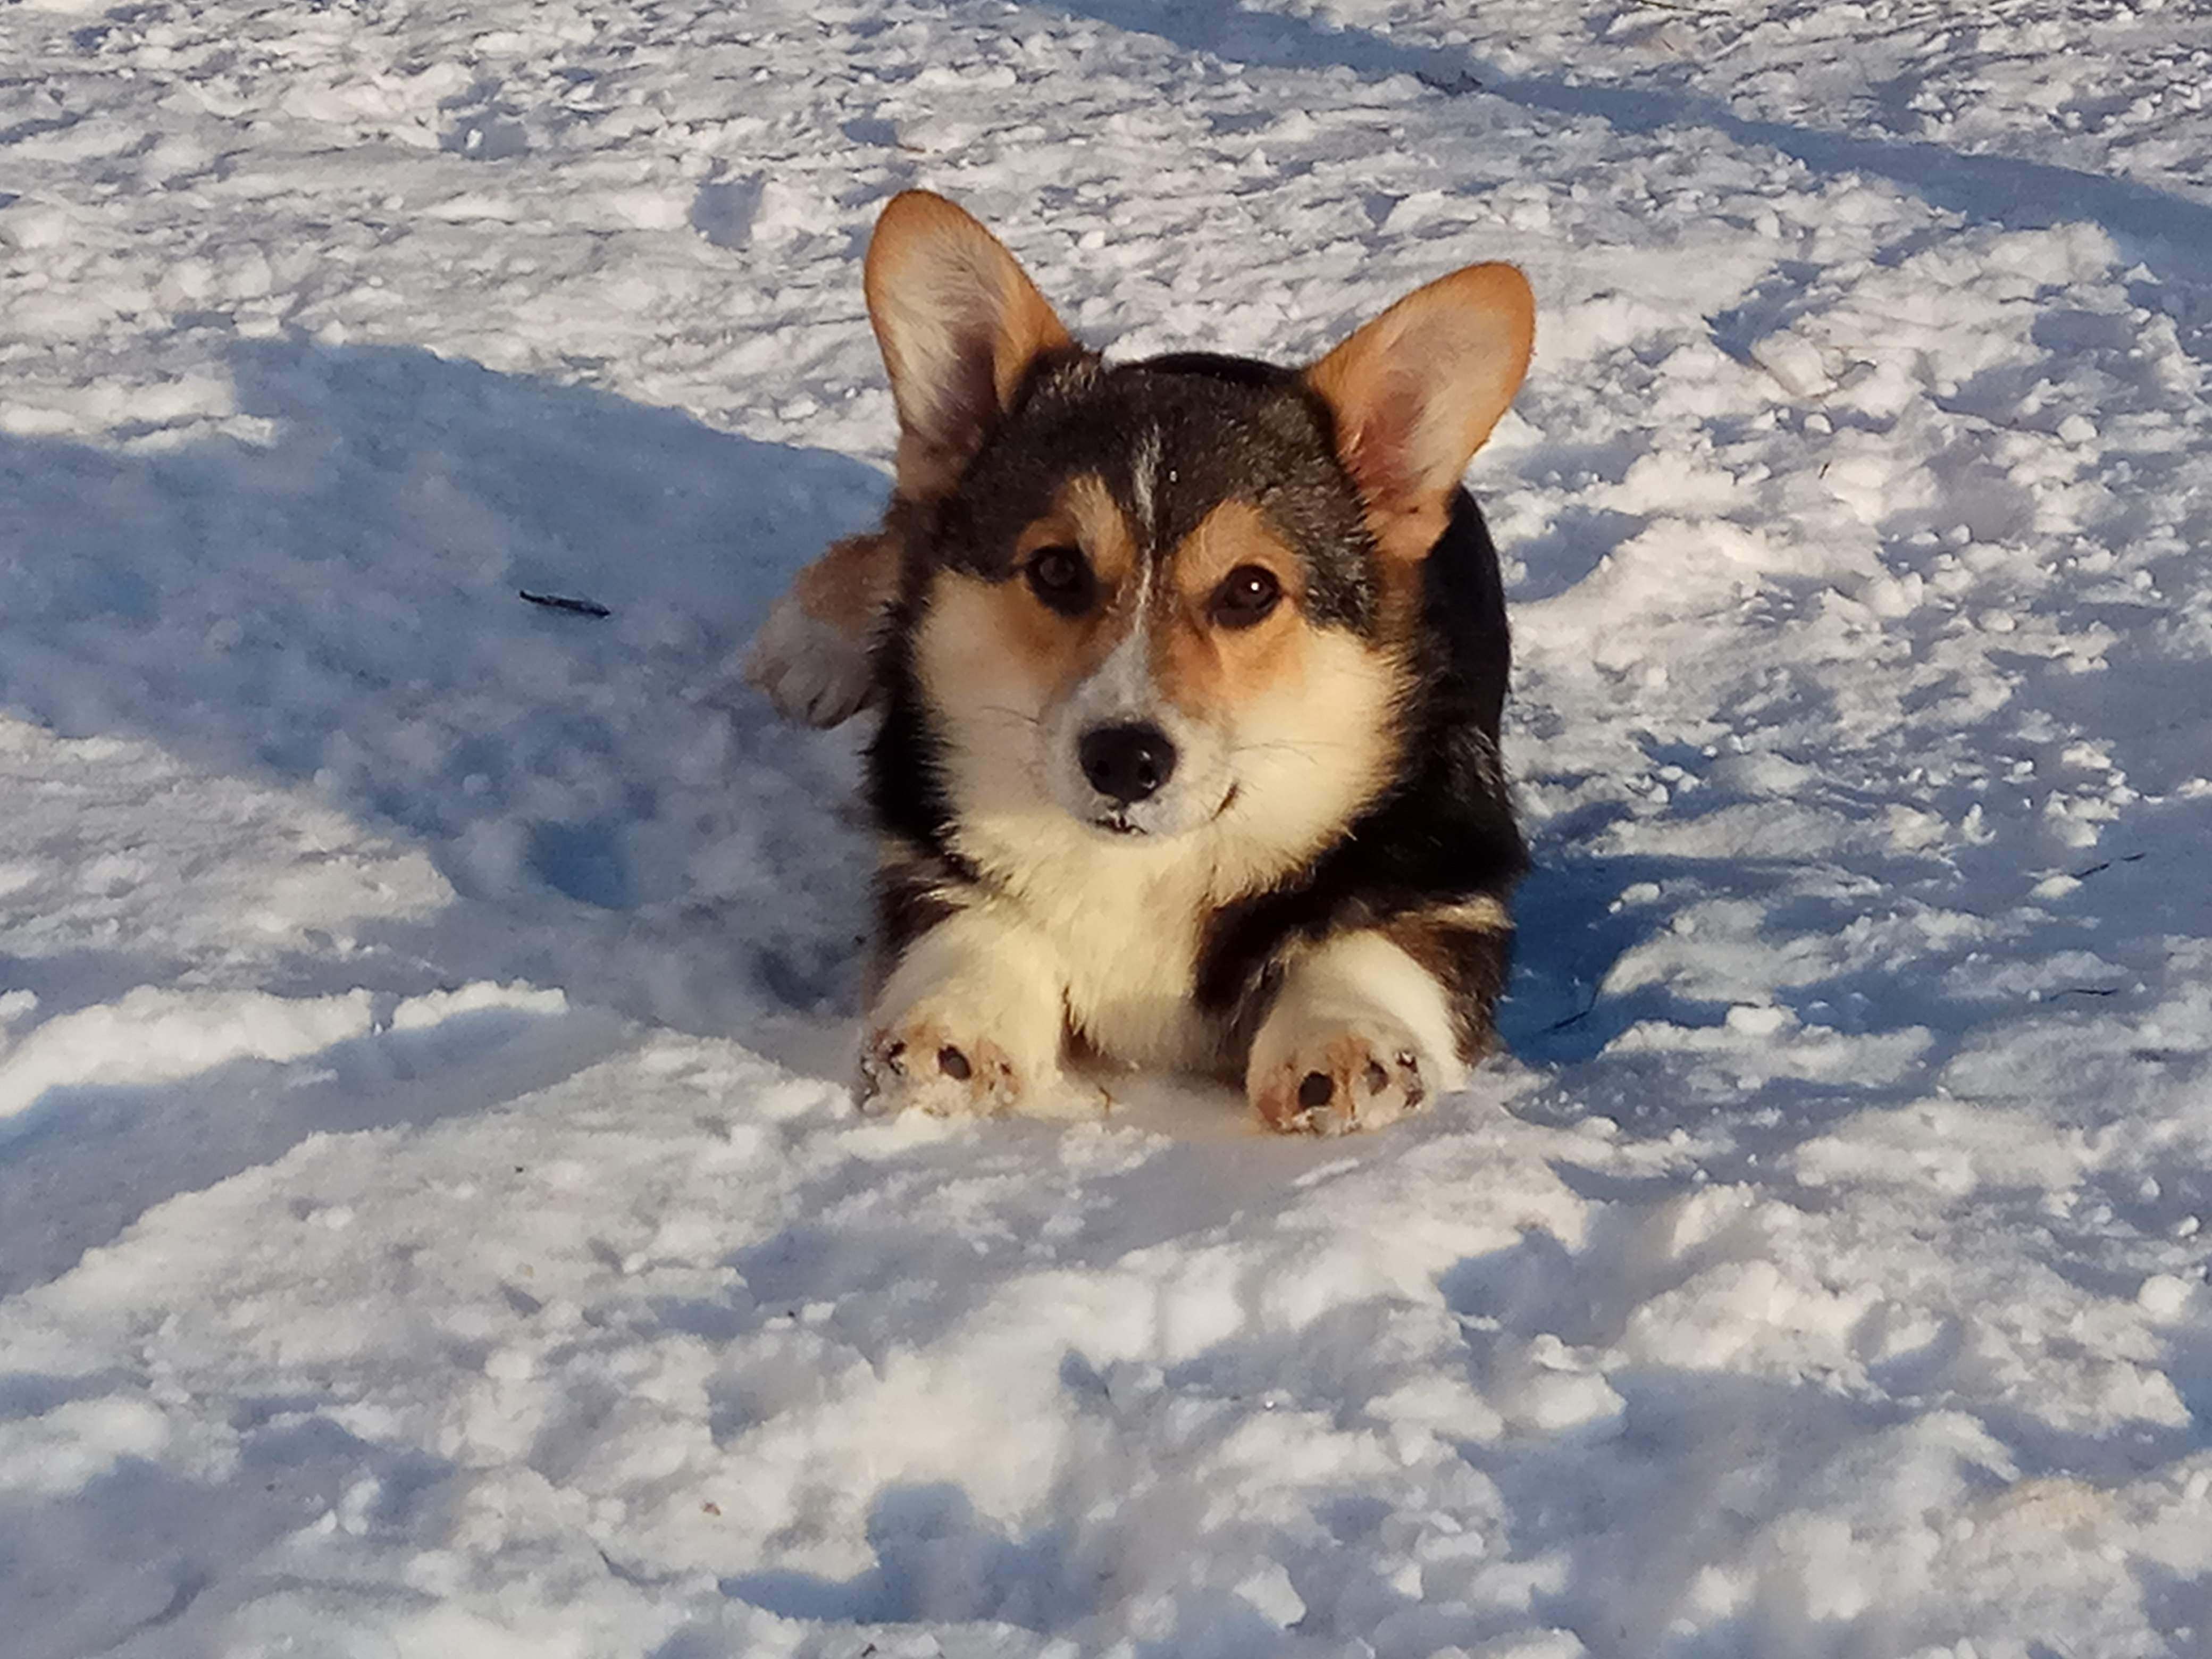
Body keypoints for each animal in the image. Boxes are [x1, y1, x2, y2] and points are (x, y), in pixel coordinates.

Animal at [752, 191, 1530, 1132]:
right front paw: (955, 1024)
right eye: (1056, 569)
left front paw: (1346, 1039)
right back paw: (812, 647)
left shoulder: (1451, 879)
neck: (1155, 868)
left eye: (1251, 589)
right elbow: (970, 919)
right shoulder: (924, 847)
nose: (1124, 759)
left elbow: (1373, 944)